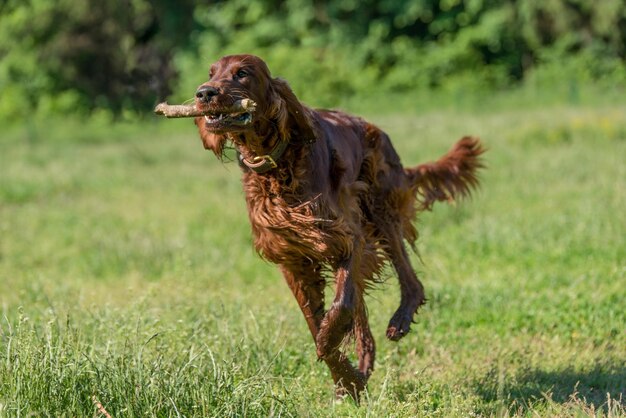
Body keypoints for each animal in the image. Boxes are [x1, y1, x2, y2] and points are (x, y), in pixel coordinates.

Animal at [193, 54, 486, 398]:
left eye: (242, 73)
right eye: (211, 73)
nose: (204, 93)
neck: (278, 162)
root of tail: (373, 127)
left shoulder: (346, 236)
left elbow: (341, 306)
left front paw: (330, 344)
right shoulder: (293, 259)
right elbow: (317, 317)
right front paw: (346, 378)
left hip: (379, 209)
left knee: (407, 276)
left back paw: (400, 319)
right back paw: (364, 363)